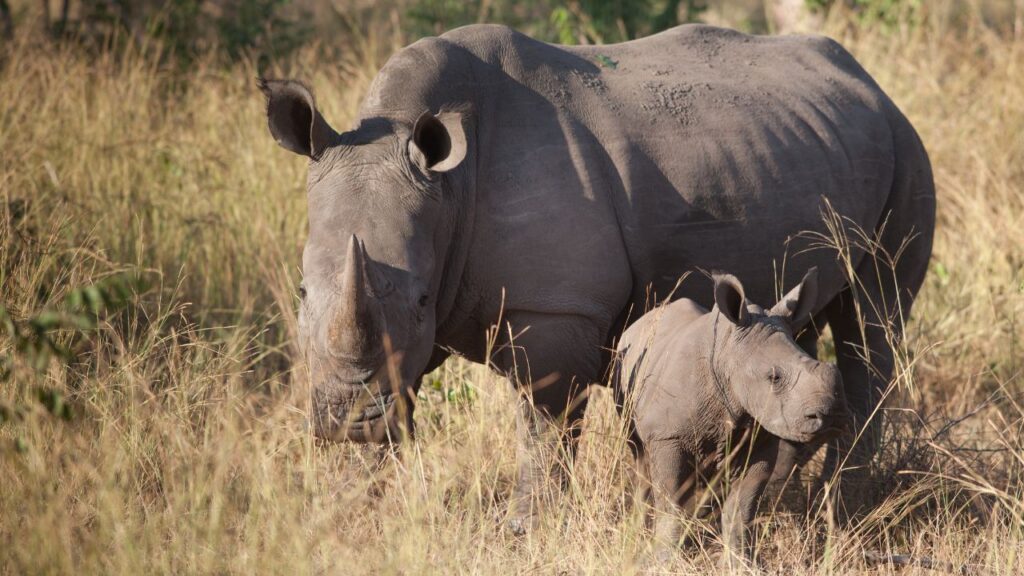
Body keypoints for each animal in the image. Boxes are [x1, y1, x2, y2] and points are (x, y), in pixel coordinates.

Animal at [260, 23, 934, 528]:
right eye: (300, 292)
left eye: (425, 300)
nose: (343, 420)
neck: (449, 186)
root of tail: (870, 83)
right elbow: (393, 396)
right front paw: (348, 509)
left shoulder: (555, 309)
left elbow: (543, 426)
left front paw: (525, 530)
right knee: (794, 323)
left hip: (908, 151)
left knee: (871, 323)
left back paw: (842, 506)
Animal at [615, 267, 847, 560]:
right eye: (774, 377)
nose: (832, 418)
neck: (728, 357)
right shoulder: (667, 436)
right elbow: (670, 500)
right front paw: (663, 559)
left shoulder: (759, 441)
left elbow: (742, 509)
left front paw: (741, 561)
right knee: (639, 456)